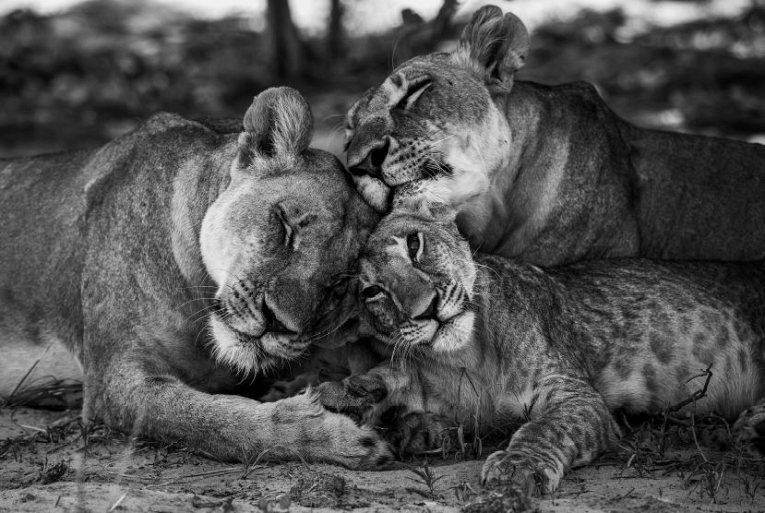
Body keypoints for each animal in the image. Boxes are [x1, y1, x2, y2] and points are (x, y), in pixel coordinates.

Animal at [0, 87, 388, 464]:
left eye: (339, 286)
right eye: (285, 225)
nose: (276, 322)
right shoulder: (112, 381)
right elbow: (211, 423)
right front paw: (326, 433)